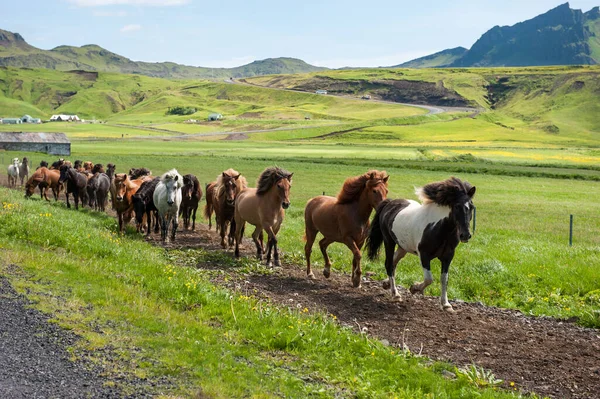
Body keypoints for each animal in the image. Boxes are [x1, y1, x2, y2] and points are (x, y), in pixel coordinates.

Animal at [366, 177, 478, 312]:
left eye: (471, 206)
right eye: (457, 206)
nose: (465, 235)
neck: (438, 227)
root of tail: (389, 203)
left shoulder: (448, 256)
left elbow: (444, 279)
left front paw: (446, 304)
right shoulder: (424, 255)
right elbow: (429, 278)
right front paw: (414, 288)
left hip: (403, 247)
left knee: (393, 262)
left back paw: (386, 284)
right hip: (389, 242)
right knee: (388, 264)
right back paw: (395, 294)